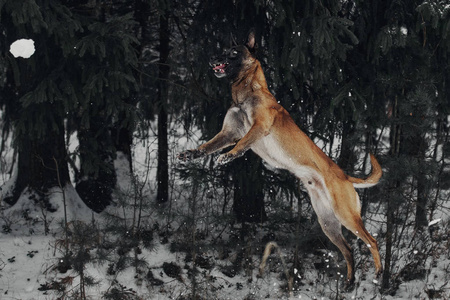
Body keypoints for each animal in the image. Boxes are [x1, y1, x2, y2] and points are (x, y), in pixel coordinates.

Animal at [178, 30, 382, 286]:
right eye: (223, 49)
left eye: (232, 52)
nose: (212, 58)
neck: (247, 92)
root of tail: (345, 176)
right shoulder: (228, 133)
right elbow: (206, 146)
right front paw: (190, 154)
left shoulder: (258, 127)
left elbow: (241, 145)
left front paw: (228, 156)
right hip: (328, 222)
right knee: (349, 250)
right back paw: (349, 281)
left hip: (345, 215)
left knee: (371, 241)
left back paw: (378, 273)